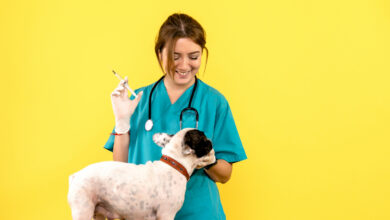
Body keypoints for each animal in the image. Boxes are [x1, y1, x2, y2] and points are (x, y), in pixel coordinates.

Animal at [67, 129, 216, 220]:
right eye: (204, 140)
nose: (211, 140)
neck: (175, 164)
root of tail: (76, 176)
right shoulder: (166, 214)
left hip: (96, 212)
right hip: (83, 209)